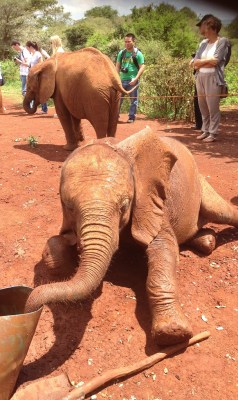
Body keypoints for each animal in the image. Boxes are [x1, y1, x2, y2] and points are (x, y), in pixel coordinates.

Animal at [24, 126, 238, 346]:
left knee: (222, 211)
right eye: (69, 207)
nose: (28, 308)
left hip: (200, 182)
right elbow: (57, 246)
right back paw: (207, 240)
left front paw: (172, 334)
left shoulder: (151, 200)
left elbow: (164, 247)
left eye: (124, 206)